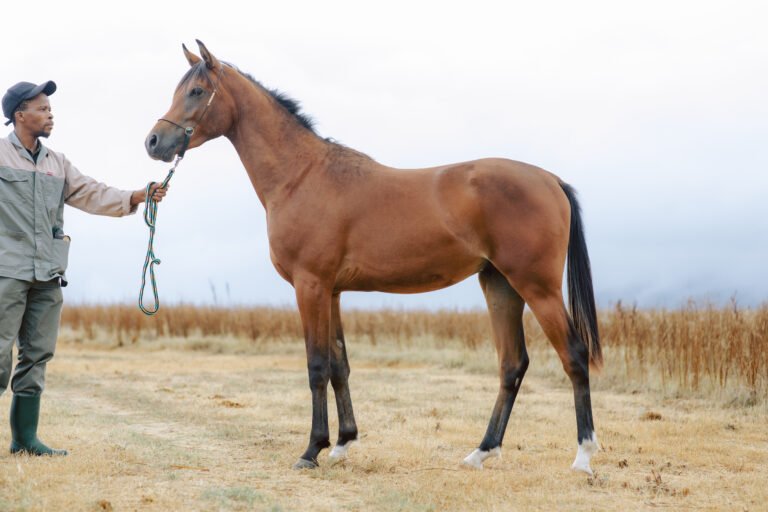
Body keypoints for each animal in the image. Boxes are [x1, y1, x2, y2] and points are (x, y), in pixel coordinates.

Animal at [142, 41, 600, 476]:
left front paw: (311, 450)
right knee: (512, 365)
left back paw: (583, 456)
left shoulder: (311, 285)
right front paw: (343, 443)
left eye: (197, 91)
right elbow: (339, 366)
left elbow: (316, 366)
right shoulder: (332, 291)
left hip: (536, 286)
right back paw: (481, 452)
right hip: (500, 285)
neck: (301, 176)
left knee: (574, 357)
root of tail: (550, 180)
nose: (153, 142)